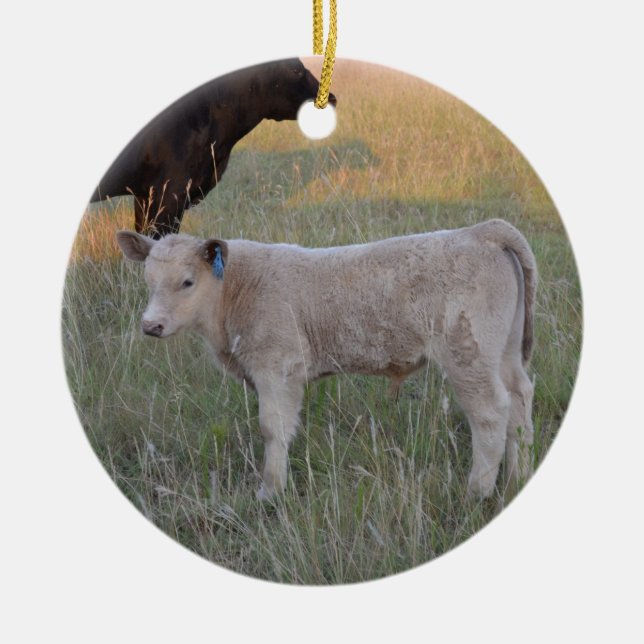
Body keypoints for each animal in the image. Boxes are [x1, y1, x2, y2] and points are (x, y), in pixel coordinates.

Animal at [116, 219, 537, 502]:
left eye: (187, 281)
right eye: (147, 279)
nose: (151, 325)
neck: (234, 290)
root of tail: (481, 230)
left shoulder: (277, 367)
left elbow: (273, 428)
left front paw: (270, 492)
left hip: (469, 355)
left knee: (490, 413)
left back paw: (477, 491)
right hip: (505, 353)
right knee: (519, 401)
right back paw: (517, 477)